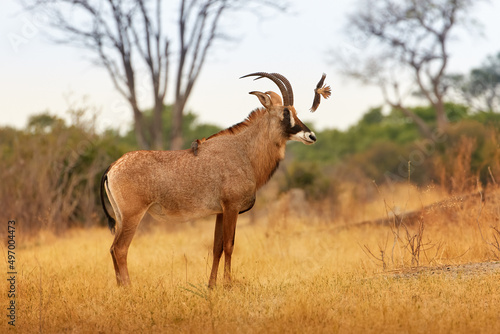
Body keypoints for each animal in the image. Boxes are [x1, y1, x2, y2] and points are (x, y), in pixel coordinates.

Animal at [100, 71, 320, 288]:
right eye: (285, 113)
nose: (311, 136)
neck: (244, 151)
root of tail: (113, 167)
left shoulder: (220, 212)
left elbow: (217, 247)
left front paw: (212, 285)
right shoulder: (232, 208)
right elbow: (230, 245)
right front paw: (228, 284)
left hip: (121, 217)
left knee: (112, 248)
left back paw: (120, 288)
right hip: (132, 215)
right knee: (120, 249)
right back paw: (128, 289)